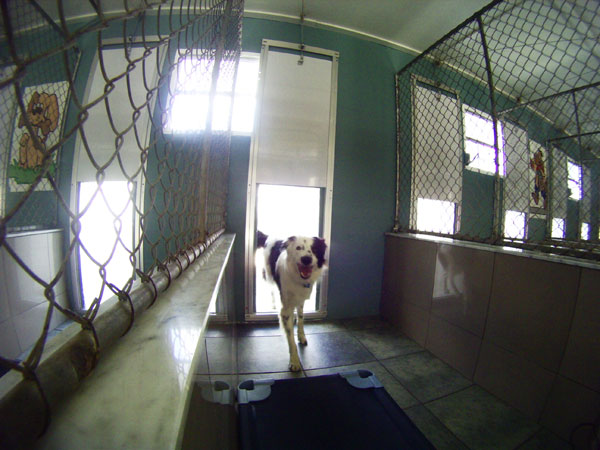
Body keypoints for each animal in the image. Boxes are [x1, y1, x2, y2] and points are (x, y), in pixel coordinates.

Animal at [255, 230, 326, 370]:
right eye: (298, 248)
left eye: (315, 249)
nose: (306, 259)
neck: (297, 277)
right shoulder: (286, 307)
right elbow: (290, 339)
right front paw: (294, 361)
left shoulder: (301, 298)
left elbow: (301, 317)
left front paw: (301, 335)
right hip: (268, 275)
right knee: (271, 289)